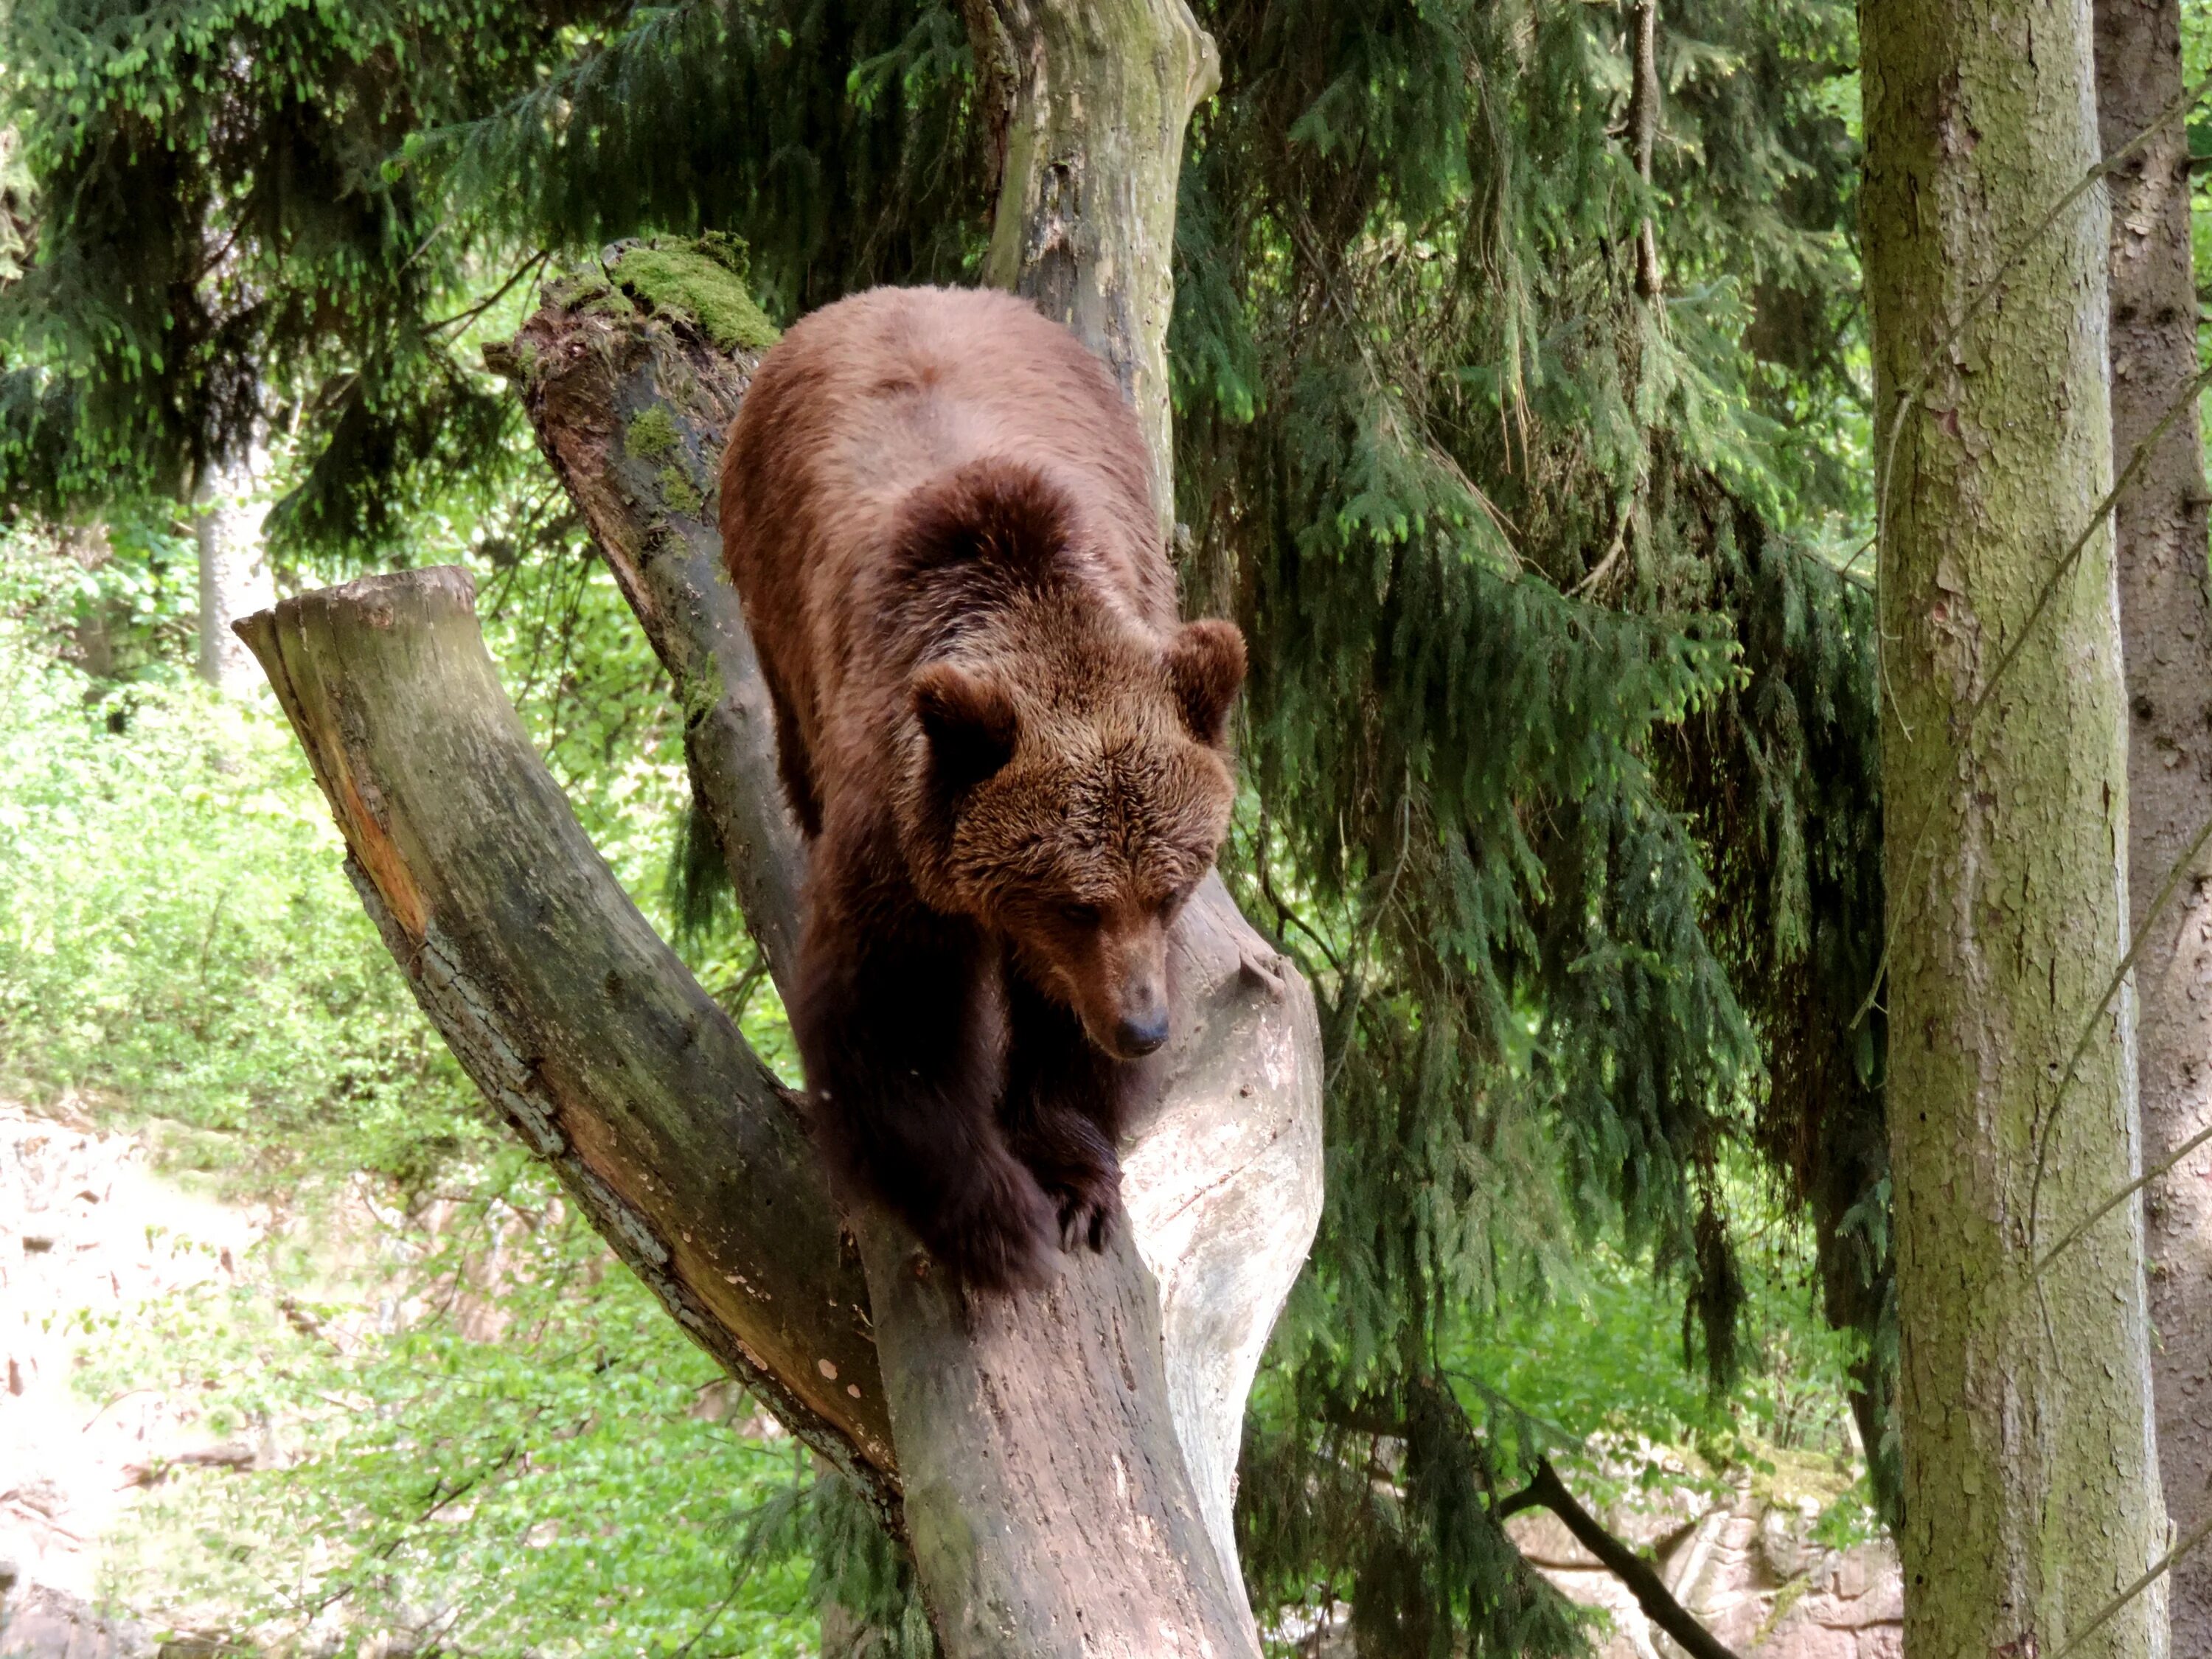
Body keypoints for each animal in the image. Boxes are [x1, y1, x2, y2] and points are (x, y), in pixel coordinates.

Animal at [721, 285, 1248, 1292]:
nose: (1142, 1029)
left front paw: (1075, 1177)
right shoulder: (896, 825)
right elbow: (892, 1022)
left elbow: (1054, 1029)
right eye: (1077, 903)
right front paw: (997, 1221)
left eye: (1170, 891)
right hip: (769, 585)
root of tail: (898, 290)